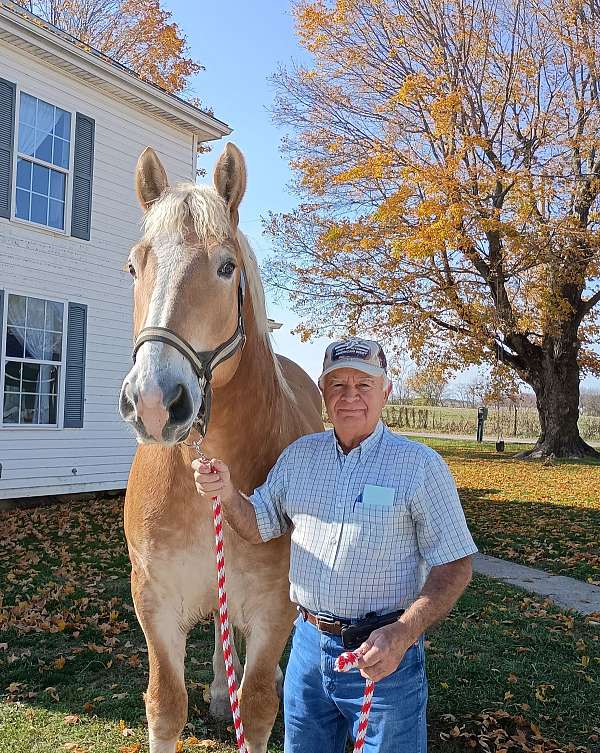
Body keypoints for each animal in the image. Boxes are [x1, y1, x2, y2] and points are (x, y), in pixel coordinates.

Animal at [118, 142, 324, 752]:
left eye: (226, 266)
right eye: (135, 266)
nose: (154, 401)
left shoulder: (274, 605)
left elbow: (254, 709)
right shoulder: (154, 599)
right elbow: (166, 705)